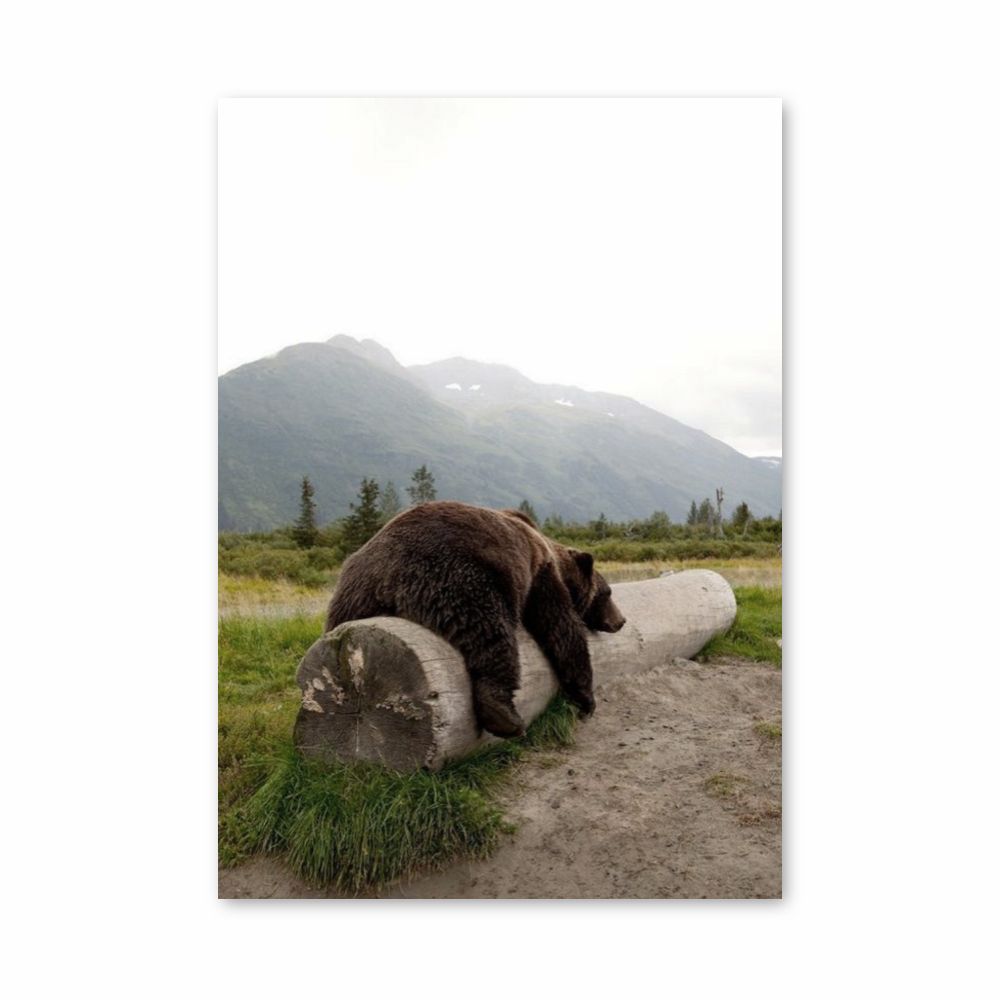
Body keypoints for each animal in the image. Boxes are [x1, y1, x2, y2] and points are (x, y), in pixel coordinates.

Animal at [324, 500, 627, 738]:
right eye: (607, 592)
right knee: (491, 633)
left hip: (351, 598)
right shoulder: (539, 575)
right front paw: (587, 699)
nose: (621, 620)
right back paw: (505, 717)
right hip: (460, 576)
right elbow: (561, 628)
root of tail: (385, 577)